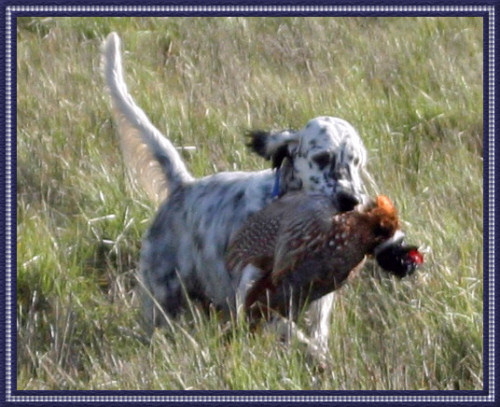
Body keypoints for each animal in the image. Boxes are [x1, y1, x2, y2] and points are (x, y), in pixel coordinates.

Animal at [102, 31, 372, 356]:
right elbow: (288, 328)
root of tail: (183, 187)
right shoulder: (252, 295)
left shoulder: (317, 300)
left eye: (356, 162)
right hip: (161, 298)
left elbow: (315, 332)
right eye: (321, 157)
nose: (351, 200)